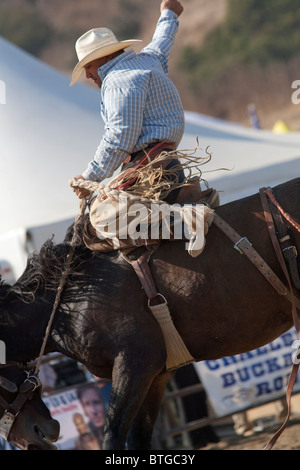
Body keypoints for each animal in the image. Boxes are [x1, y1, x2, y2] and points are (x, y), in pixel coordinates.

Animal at [0, 176, 300, 448]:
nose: (47, 430)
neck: (72, 299)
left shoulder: (135, 364)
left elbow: (113, 435)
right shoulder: (157, 375)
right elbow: (139, 439)